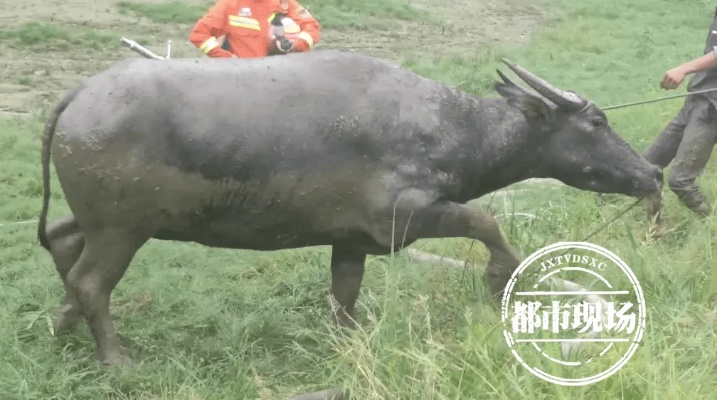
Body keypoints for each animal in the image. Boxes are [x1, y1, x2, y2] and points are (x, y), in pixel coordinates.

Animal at [36, 50, 656, 366]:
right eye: (596, 122)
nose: (650, 174)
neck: (449, 127)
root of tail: (79, 97)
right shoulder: (406, 214)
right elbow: (485, 219)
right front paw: (499, 276)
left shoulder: (351, 241)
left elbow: (345, 296)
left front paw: (346, 344)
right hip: (122, 228)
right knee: (91, 281)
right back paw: (117, 359)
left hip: (103, 221)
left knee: (63, 244)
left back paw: (64, 324)